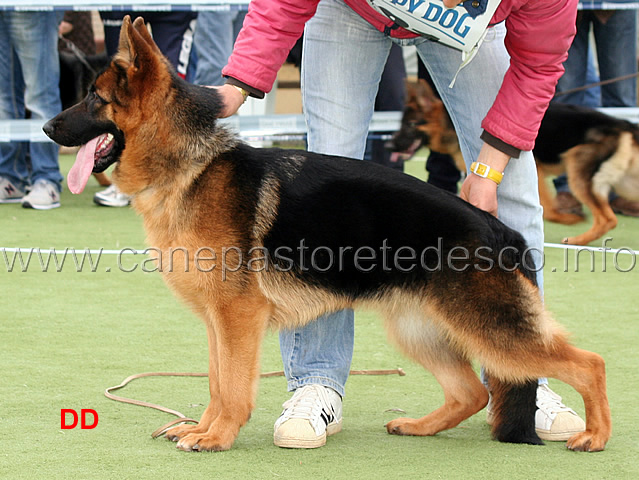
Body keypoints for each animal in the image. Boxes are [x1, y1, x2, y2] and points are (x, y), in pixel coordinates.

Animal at [42, 17, 612, 454]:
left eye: (94, 99)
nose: (46, 129)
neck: (189, 164)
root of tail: (500, 228)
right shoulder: (217, 324)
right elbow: (216, 382)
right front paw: (201, 428)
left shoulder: (237, 320)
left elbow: (233, 388)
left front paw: (218, 437)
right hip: (421, 329)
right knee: (472, 391)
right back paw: (420, 426)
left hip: (491, 329)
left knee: (589, 363)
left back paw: (595, 436)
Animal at [390, 79, 639, 246]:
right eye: (401, 124)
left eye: (410, 125)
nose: (390, 146)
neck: (446, 123)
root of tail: (623, 124)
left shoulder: (536, 171)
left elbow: (549, 211)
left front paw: (567, 219)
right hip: (624, 183)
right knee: (609, 217)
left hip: (576, 167)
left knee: (607, 219)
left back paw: (577, 240)